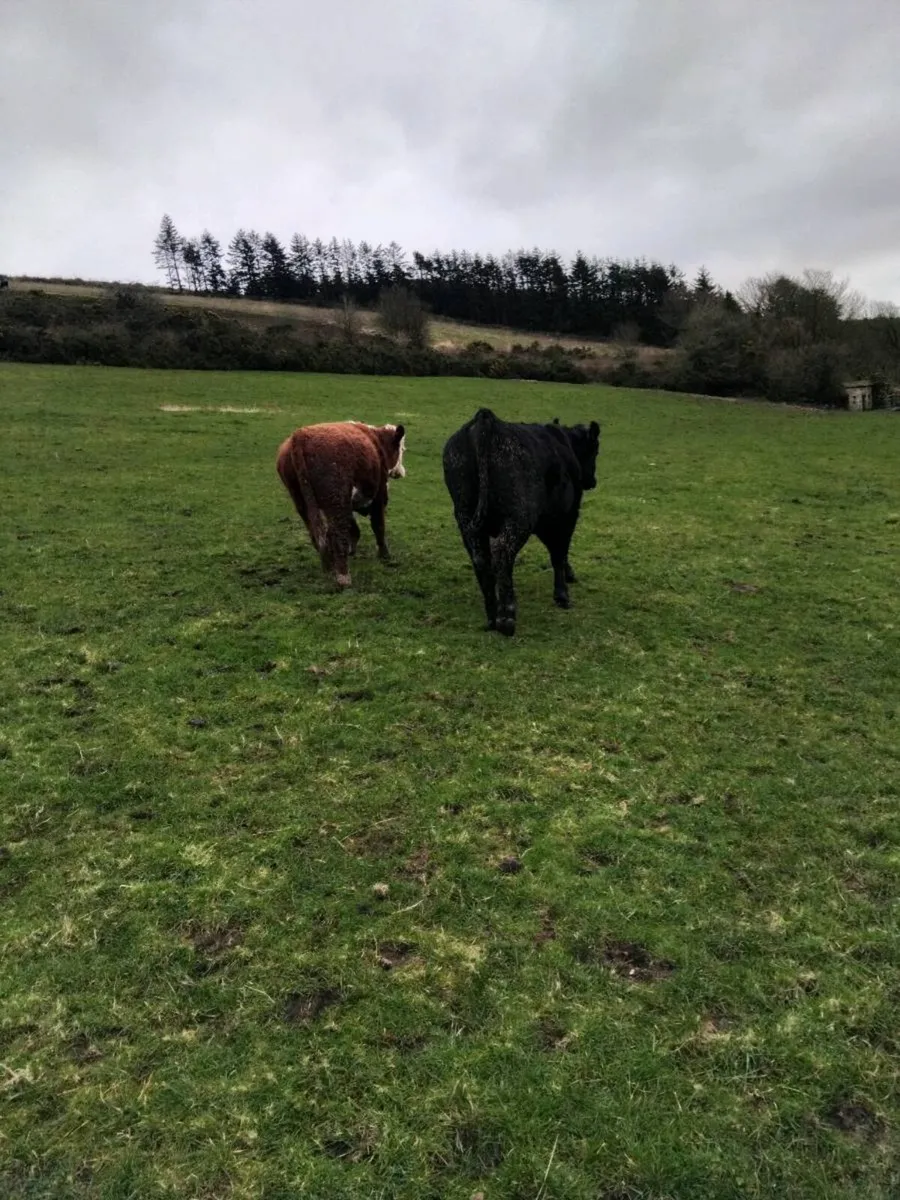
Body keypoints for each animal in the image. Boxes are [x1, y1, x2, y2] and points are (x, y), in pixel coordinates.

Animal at [276, 420, 406, 588]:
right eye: (401, 449)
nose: (401, 472)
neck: (376, 441)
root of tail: (300, 436)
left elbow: (353, 528)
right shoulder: (379, 495)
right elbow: (378, 526)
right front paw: (384, 555)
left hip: (302, 502)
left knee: (318, 535)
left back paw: (330, 567)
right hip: (336, 500)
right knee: (337, 534)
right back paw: (343, 577)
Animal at [442, 407, 600, 635]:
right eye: (595, 450)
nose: (592, 481)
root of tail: (486, 419)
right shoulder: (566, 514)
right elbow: (559, 552)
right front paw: (562, 594)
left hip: (465, 517)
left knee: (481, 558)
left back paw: (492, 616)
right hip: (519, 518)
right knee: (502, 552)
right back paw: (507, 617)